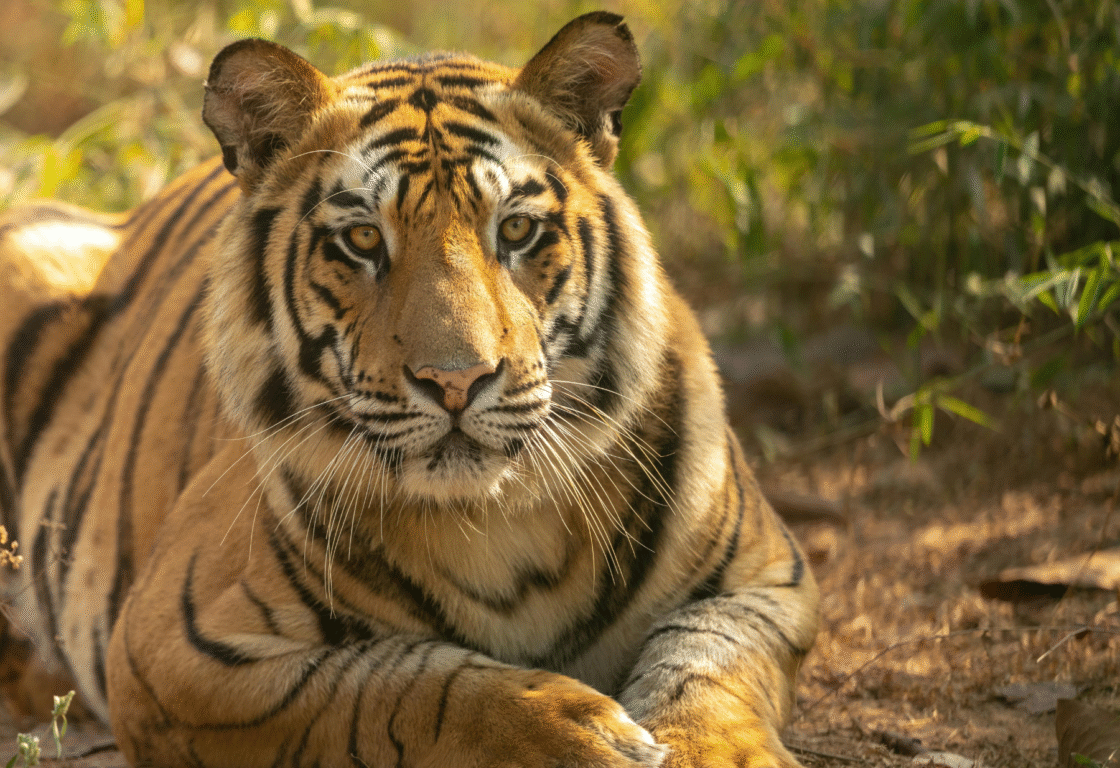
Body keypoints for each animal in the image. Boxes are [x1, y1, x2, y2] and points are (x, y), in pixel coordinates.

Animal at [0, 12, 819, 767]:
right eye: (363, 240)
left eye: (516, 230)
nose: (456, 380)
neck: (495, 522)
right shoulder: (177, 652)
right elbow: (400, 683)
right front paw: (574, 732)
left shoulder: (764, 584)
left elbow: (704, 666)